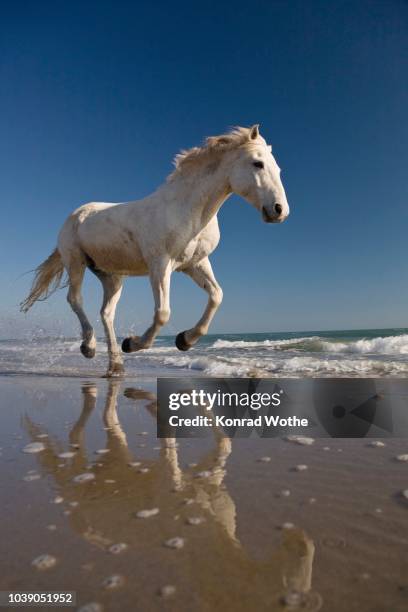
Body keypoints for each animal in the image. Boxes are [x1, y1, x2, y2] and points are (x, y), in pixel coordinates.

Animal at [21, 125, 290, 376]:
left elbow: (216, 295)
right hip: (75, 262)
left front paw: (185, 340)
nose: (280, 210)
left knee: (107, 313)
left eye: (278, 169)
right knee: (75, 300)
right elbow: (163, 313)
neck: (188, 209)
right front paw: (133, 343)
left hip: (112, 276)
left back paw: (116, 365)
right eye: (257, 163)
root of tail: (76, 214)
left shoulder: (196, 264)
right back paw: (89, 347)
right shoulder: (160, 264)